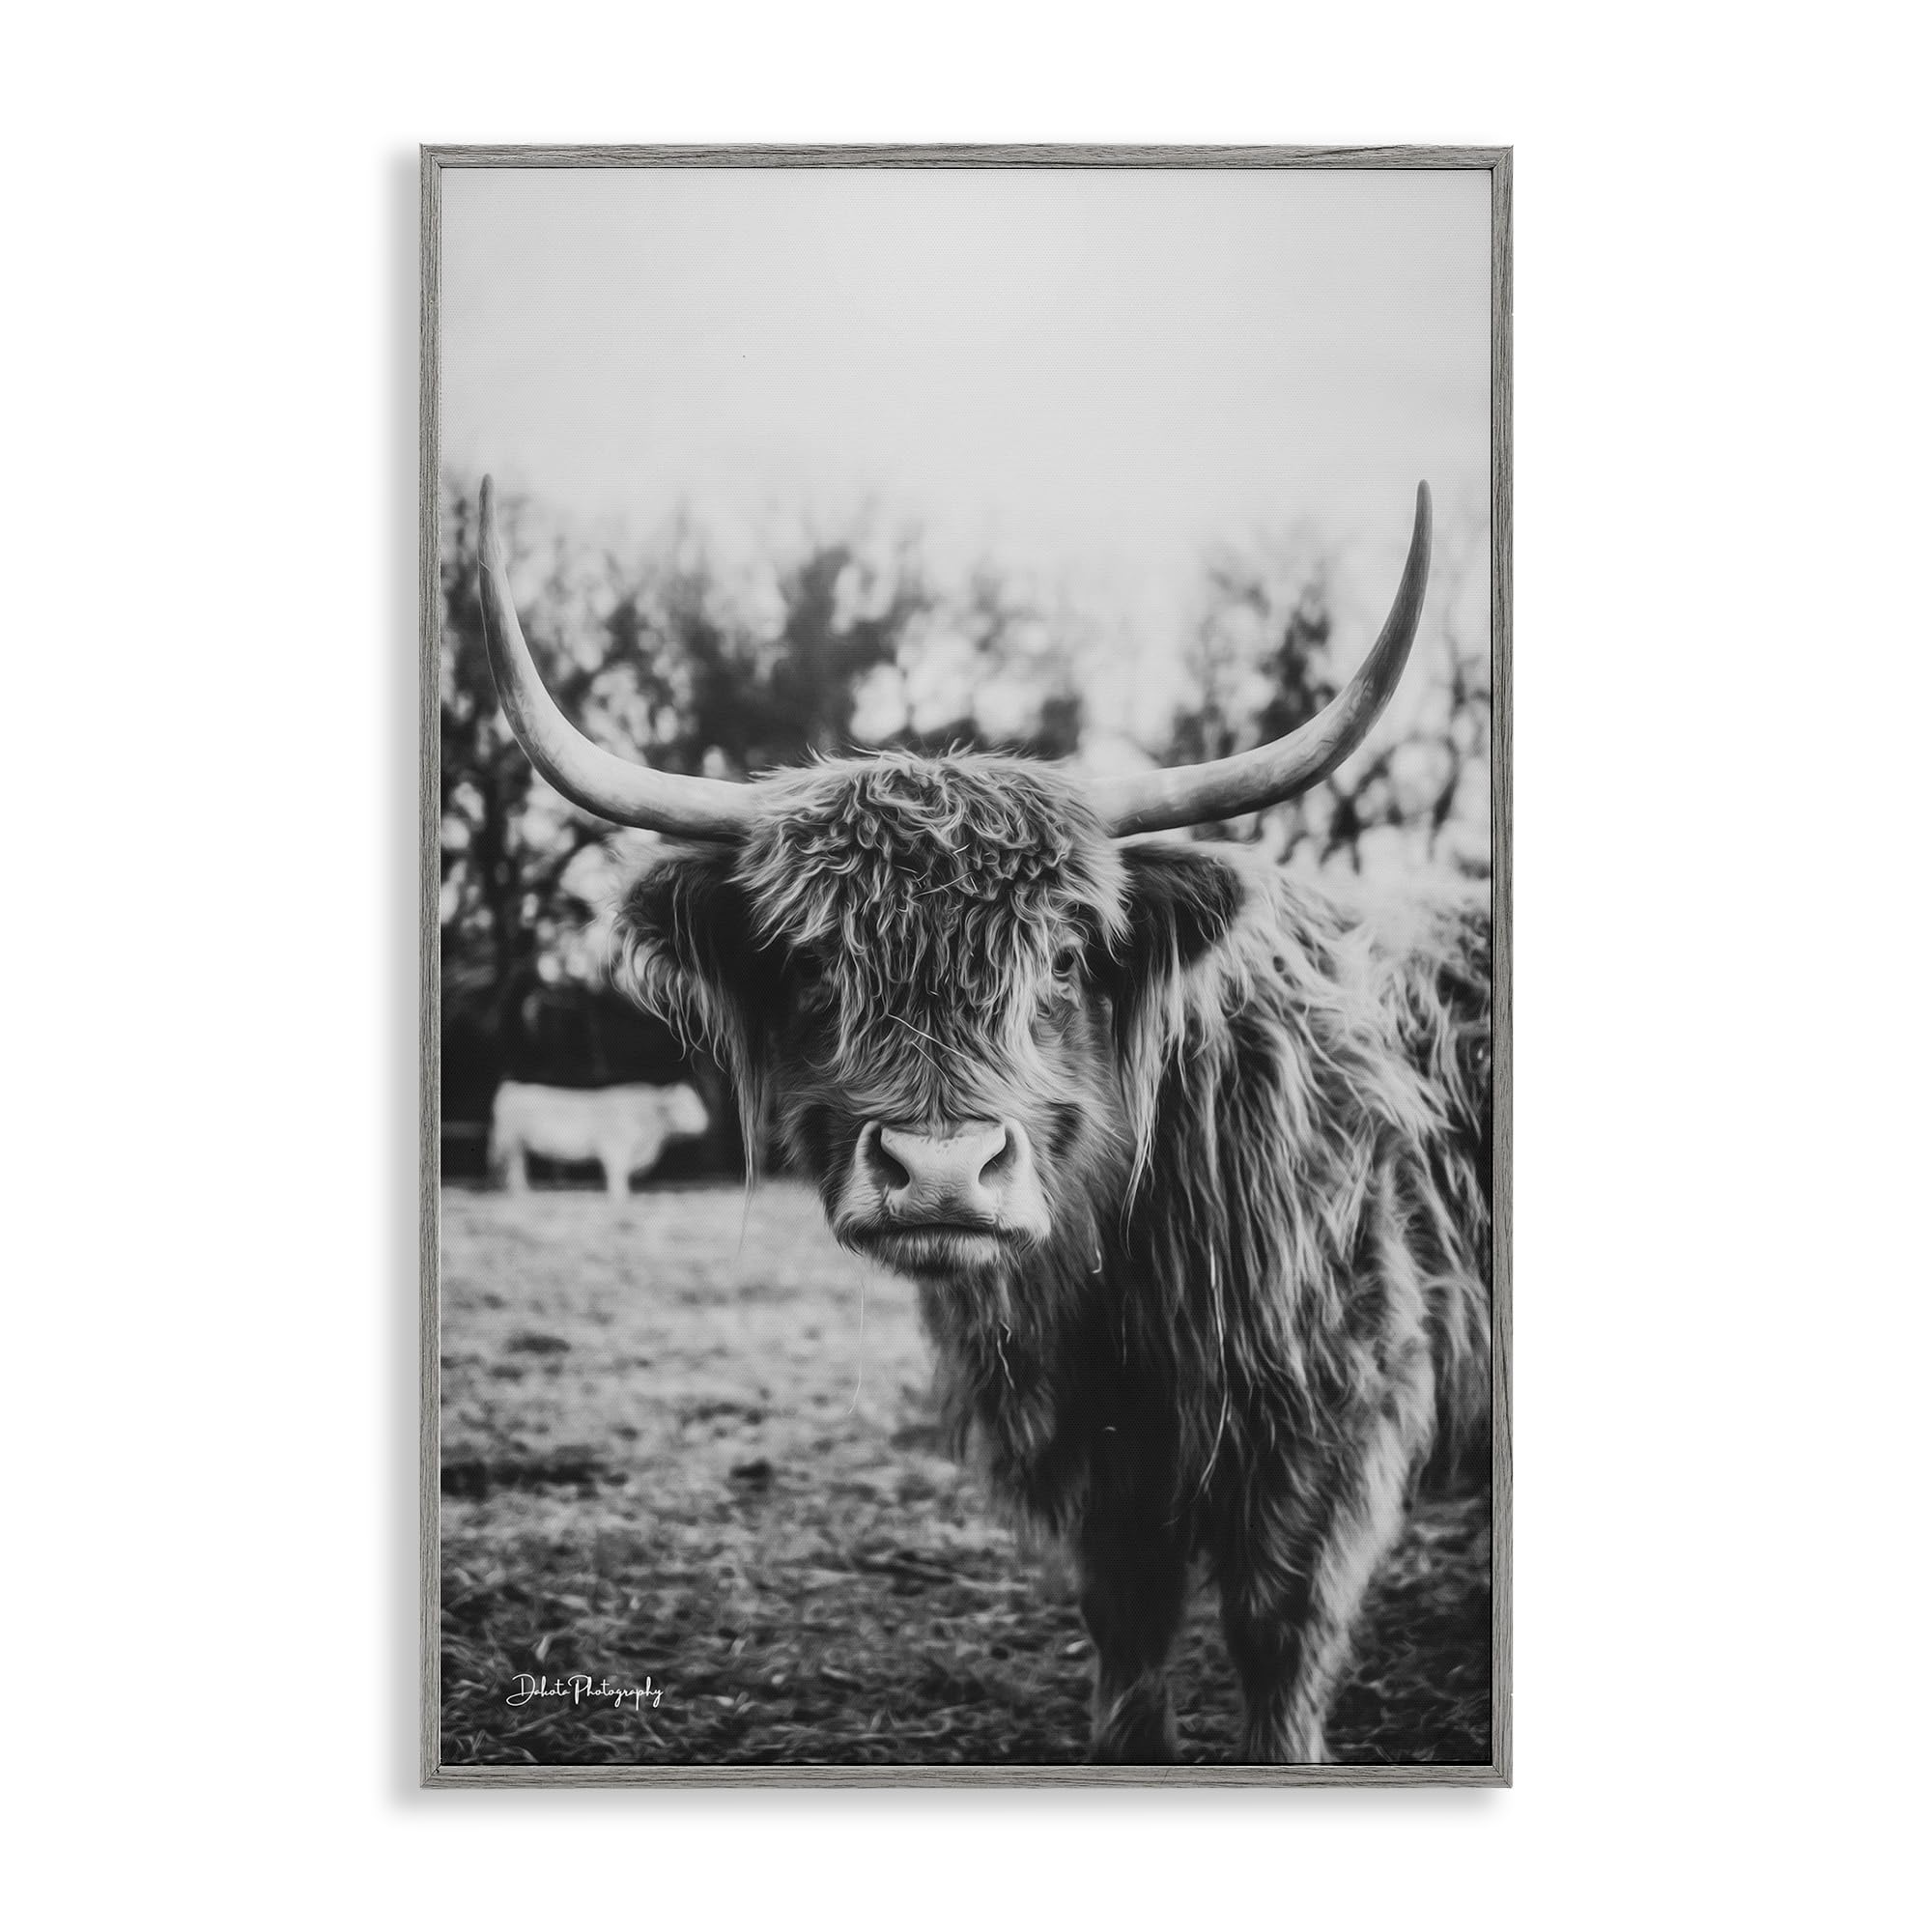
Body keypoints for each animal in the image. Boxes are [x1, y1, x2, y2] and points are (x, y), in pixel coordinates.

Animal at [487, 1079, 709, 1199]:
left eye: (696, 1102)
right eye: (683, 1106)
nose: (706, 1122)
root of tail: (512, 1088)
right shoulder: (616, 1150)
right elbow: (617, 1176)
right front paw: (620, 1198)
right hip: (512, 1143)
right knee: (515, 1169)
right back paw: (522, 1194)